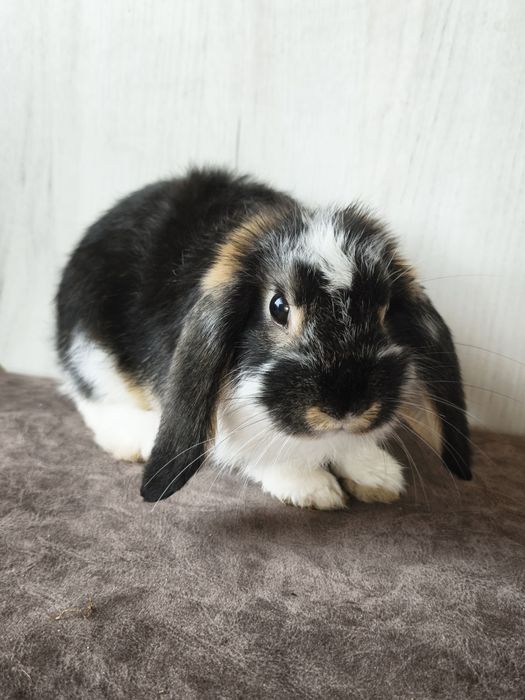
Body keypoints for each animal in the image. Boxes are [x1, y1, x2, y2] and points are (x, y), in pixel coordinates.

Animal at [55, 167, 471, 509]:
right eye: (278, 307)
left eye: (384, 310)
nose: (347, 408)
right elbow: (269, 455)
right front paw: (313, 489)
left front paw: (377, 475)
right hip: (92, 355)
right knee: (90, 399)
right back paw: (136, 439)